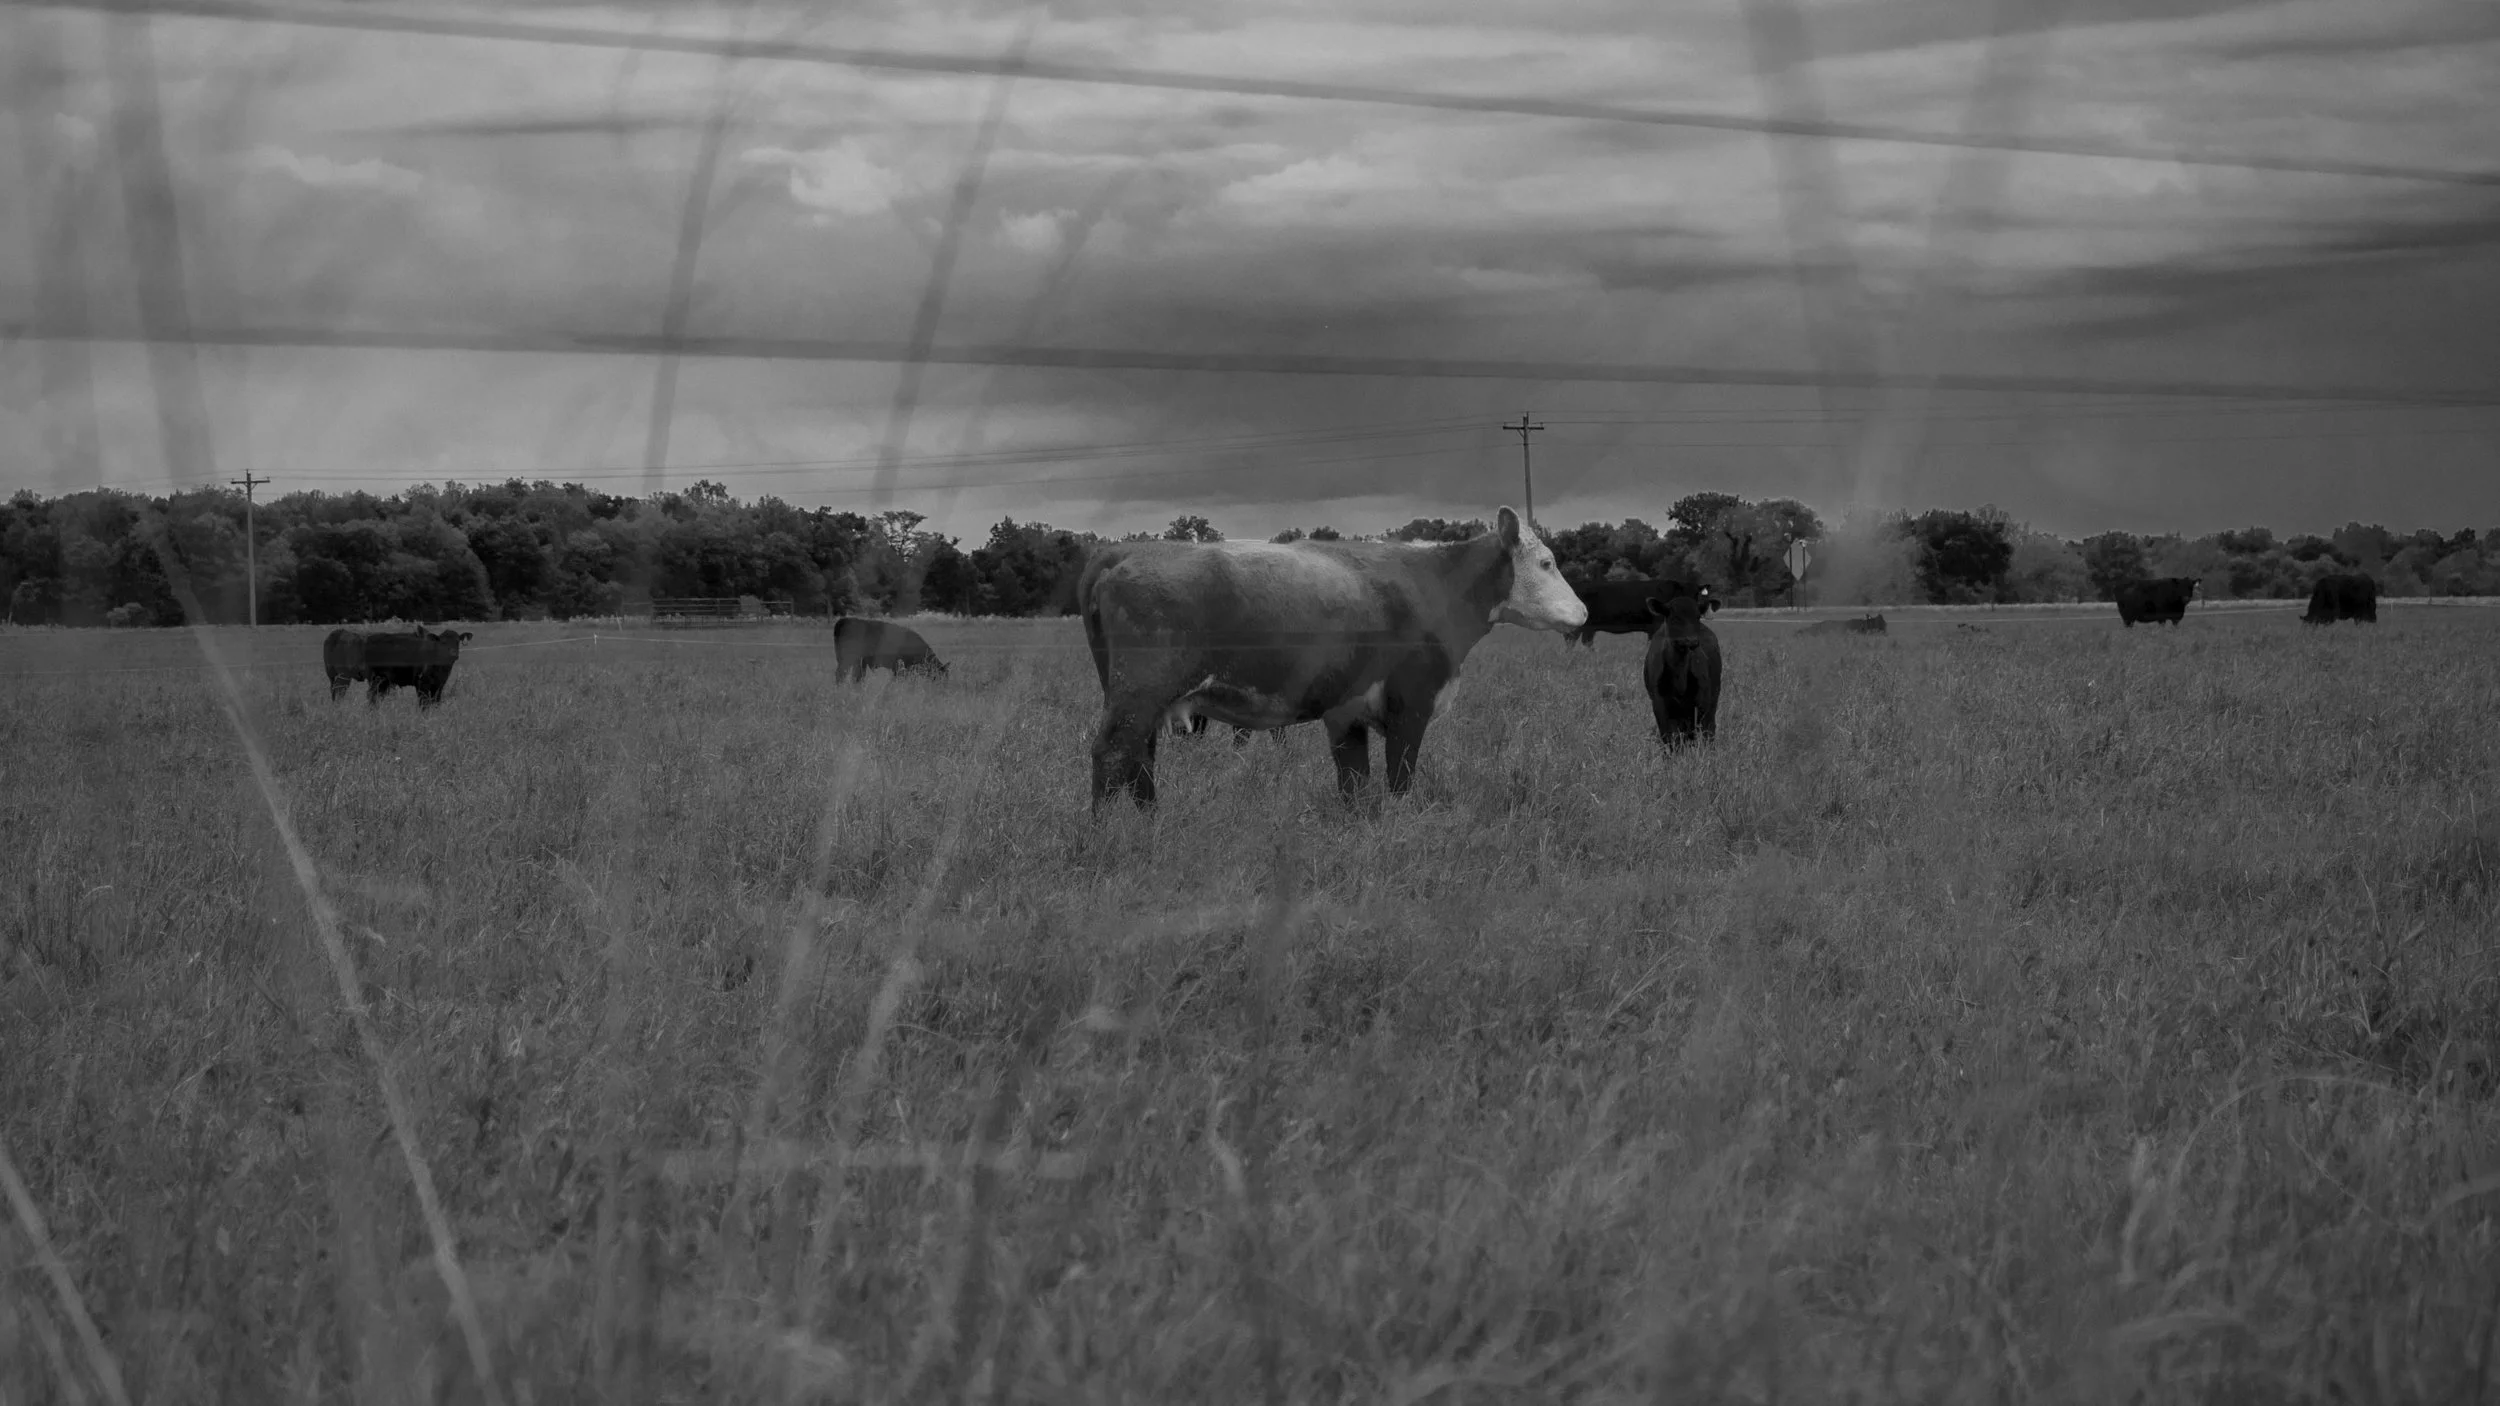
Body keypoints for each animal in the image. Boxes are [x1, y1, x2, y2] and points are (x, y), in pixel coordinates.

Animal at [1080, 506, 1586, 811]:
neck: (1434, 584)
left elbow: (1354, 783)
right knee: (1112, 753)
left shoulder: (1349, 712)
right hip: (1139, 693)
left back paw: (1149, 822)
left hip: (1136, 697)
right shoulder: (1411, 704)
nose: (1583, 612)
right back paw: (1108, 832)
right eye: (1546, 563)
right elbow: (1399, 779)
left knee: (1140, 759)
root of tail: (1124, 553)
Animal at [1643, 590, 1722, 748]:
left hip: (1713, 697)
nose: (1692, 640)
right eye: (1675, 618)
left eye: (1698, 617)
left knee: (1708, 731)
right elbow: (1669, 739)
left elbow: (1703, 734)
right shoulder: (1660, 706)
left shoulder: (1701, 704)